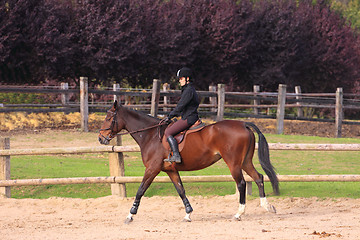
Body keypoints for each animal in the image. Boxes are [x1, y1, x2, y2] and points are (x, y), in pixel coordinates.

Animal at [98, 101, 278, 223]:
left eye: (109, 118)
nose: (101, 138)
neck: (150, 135)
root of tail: (243, 124)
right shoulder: (170, 170)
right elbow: (181, 190)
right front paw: (188, 213)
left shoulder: (152, 169)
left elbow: (140, 190)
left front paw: (130, 215)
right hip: (245, 161)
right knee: (259, 177)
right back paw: (267, 206)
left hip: (233, 163)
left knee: (241, 183)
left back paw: (239, 213)